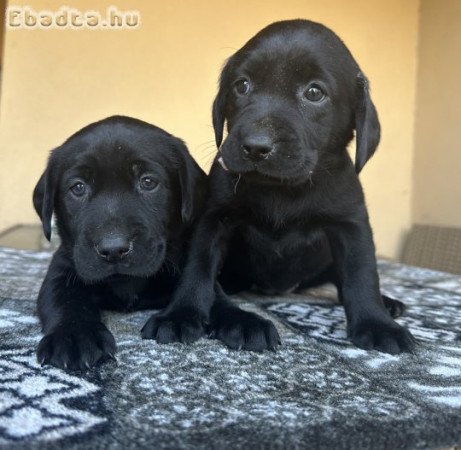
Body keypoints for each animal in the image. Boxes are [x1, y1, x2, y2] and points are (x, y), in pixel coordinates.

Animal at [35, 116, 208, 370]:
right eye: (78, 187)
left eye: (148, 182)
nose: (114, 249)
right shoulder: (62, 268)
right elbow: (63, 299)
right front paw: (75, 335)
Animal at [142, 19, 416, 354]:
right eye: (242, 85)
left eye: (314, 93)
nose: (256, 147)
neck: (283, 190)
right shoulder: (213, 219)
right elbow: (198, 267)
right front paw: (181, 313)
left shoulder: (350, 224)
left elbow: (362, 275)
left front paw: (376, 323)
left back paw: (387, 304)